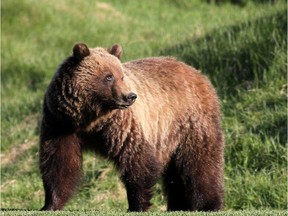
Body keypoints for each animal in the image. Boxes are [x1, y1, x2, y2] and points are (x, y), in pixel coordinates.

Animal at [38, 43, 225, 212]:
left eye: (122, 76)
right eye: (109, 77)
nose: (130, 96)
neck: (90, 118)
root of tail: (197, 73)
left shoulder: (120, 125)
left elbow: (136, 159)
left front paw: (137, 205)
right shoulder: (61, 124)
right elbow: (59, 162)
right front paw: (50, 204)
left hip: (190, 121)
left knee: (200, 162)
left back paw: (209, 204)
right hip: (169, 137)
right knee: (176, 173)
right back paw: (179, 205)